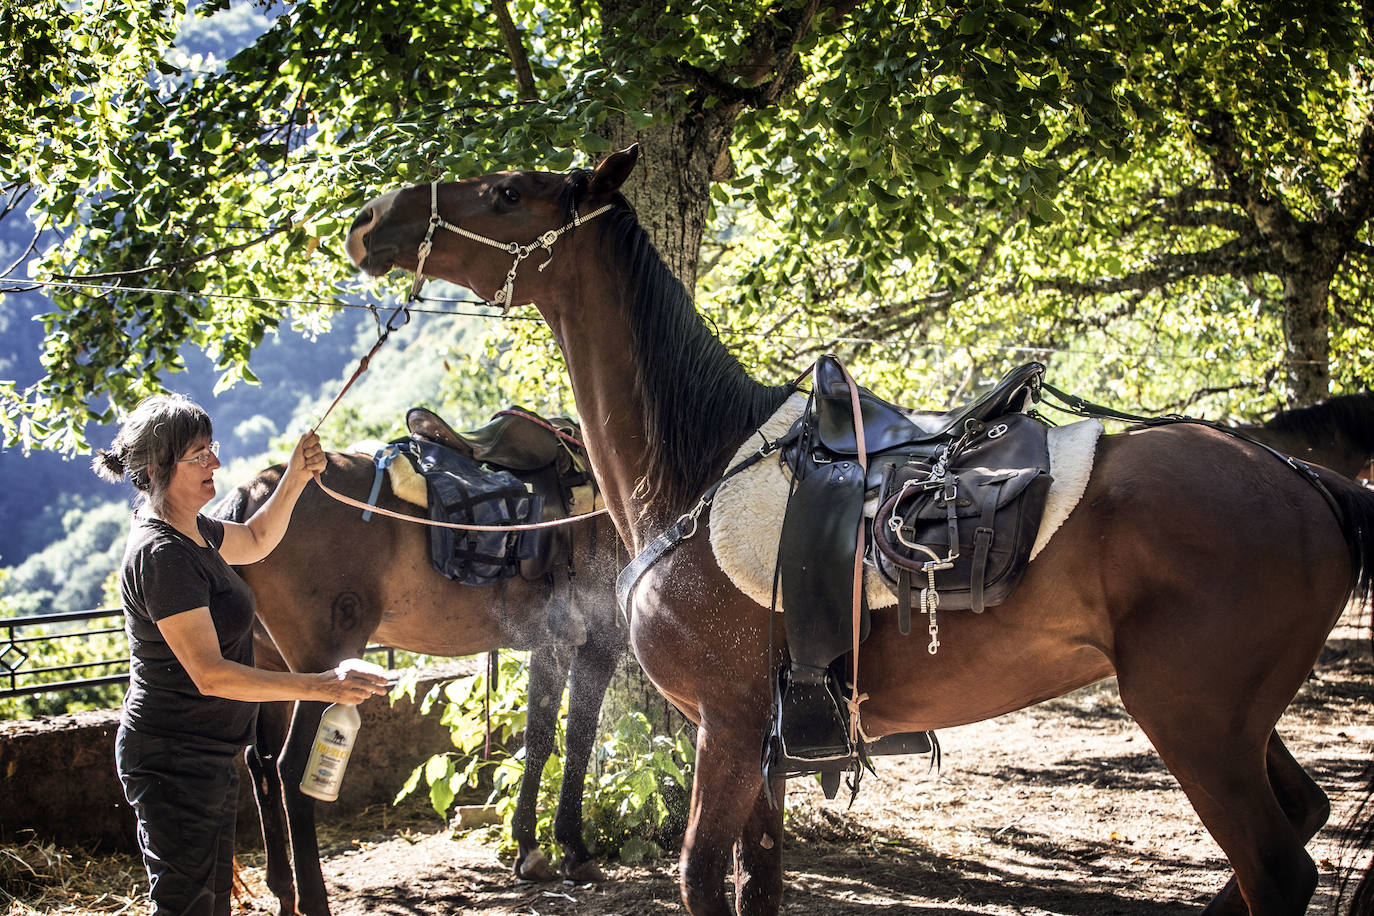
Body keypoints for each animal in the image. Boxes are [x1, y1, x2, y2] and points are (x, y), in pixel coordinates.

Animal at [214, 453, 623, 916]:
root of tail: (248, 498)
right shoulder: (601, 641)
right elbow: (579, 739)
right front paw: (574, 848)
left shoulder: (553, 644)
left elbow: (537, 738)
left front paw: (529, 850)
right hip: (322, 666)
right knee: (288, 767)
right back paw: (313, 897)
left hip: (273, 670)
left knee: (260, 762)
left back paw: (283, 888)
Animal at [340, 144, 1374, 916]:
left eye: (505, 193)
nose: (372, 219)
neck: (701, 466)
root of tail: (1305, 480)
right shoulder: (766, 746)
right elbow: (759, 883)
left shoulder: (726, 727)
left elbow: (702, 881)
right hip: (1233, 718)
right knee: (1299, 826)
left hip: (1194, 718)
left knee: (1276, 869)